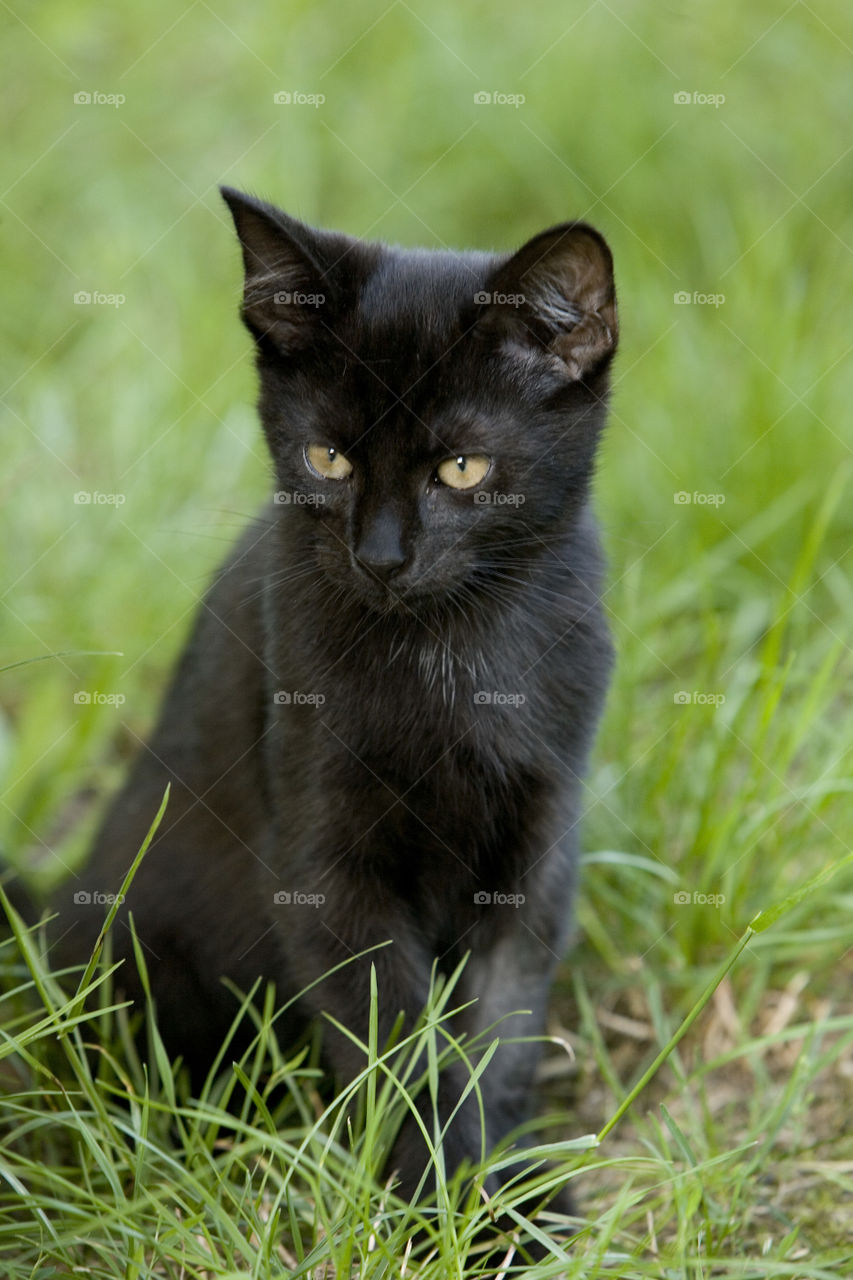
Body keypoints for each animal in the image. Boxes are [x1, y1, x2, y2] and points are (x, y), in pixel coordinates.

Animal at [53, 189, 614, 1218]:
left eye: (463, 469)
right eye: (327, 459)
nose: (380, 557)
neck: (449, 655)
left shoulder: (538, 845)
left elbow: (498, 1037)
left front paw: (503, 1196)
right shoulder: (326, 865)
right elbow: (392, 1050)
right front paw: (436, 1205)